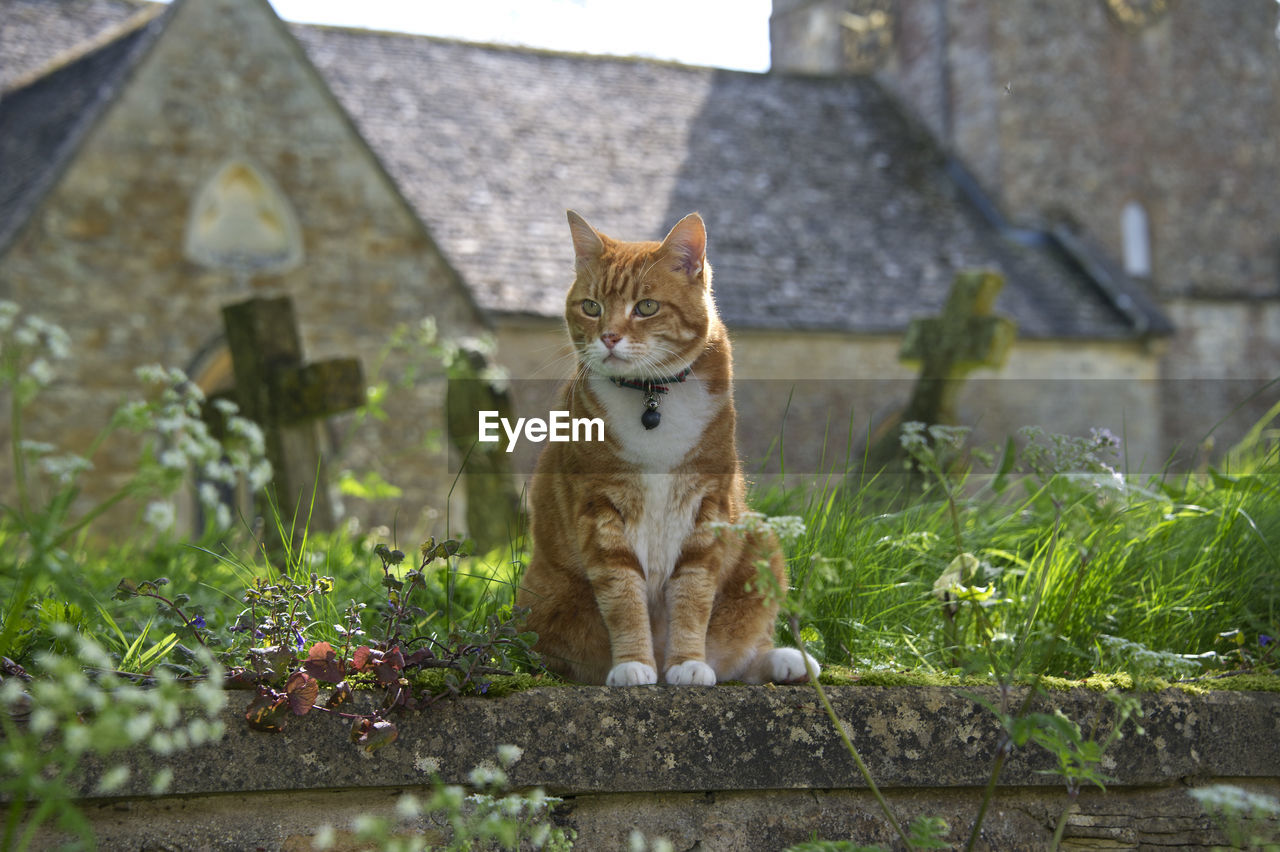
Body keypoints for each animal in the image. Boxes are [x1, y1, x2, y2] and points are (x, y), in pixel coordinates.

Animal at [517, 211, 819, 685]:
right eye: (591, 307)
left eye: (646, 307)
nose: (609, 337)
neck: (650, 395)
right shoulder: (599, 510)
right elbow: (623, 596)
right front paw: (633, 665)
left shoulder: (707, 507)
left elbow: (693, 596)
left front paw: (688, 663)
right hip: (544, 599)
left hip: (760, 540)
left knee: (739, 655)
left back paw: (787, 661)